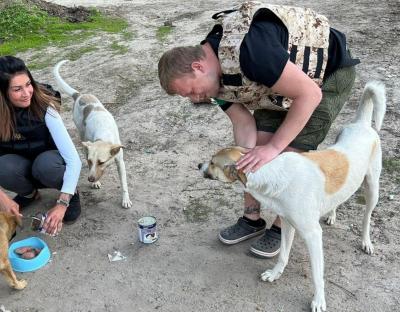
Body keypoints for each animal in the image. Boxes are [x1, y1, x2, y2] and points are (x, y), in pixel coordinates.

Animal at [53, 59, 133, 208]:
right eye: (91, 161)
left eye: (101, 162)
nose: (90, 179)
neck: (104, 135)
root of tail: (79, 95)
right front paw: (95, 182)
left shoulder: (120, 161)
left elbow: (124, 184)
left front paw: (125, 199)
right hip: (82, 133)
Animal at [198, 81, 386, 312]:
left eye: (213, 162)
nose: (199, 165)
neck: (272, 174)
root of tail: (361, 124)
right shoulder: (287, 225)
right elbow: (283, 255)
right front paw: (275, 274)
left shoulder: (313, 235)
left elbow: (317, 274)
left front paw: (319, 300)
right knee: (340, 199)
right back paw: (332, 214)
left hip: (372, 188)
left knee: (367, 217)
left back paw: (366, 242)